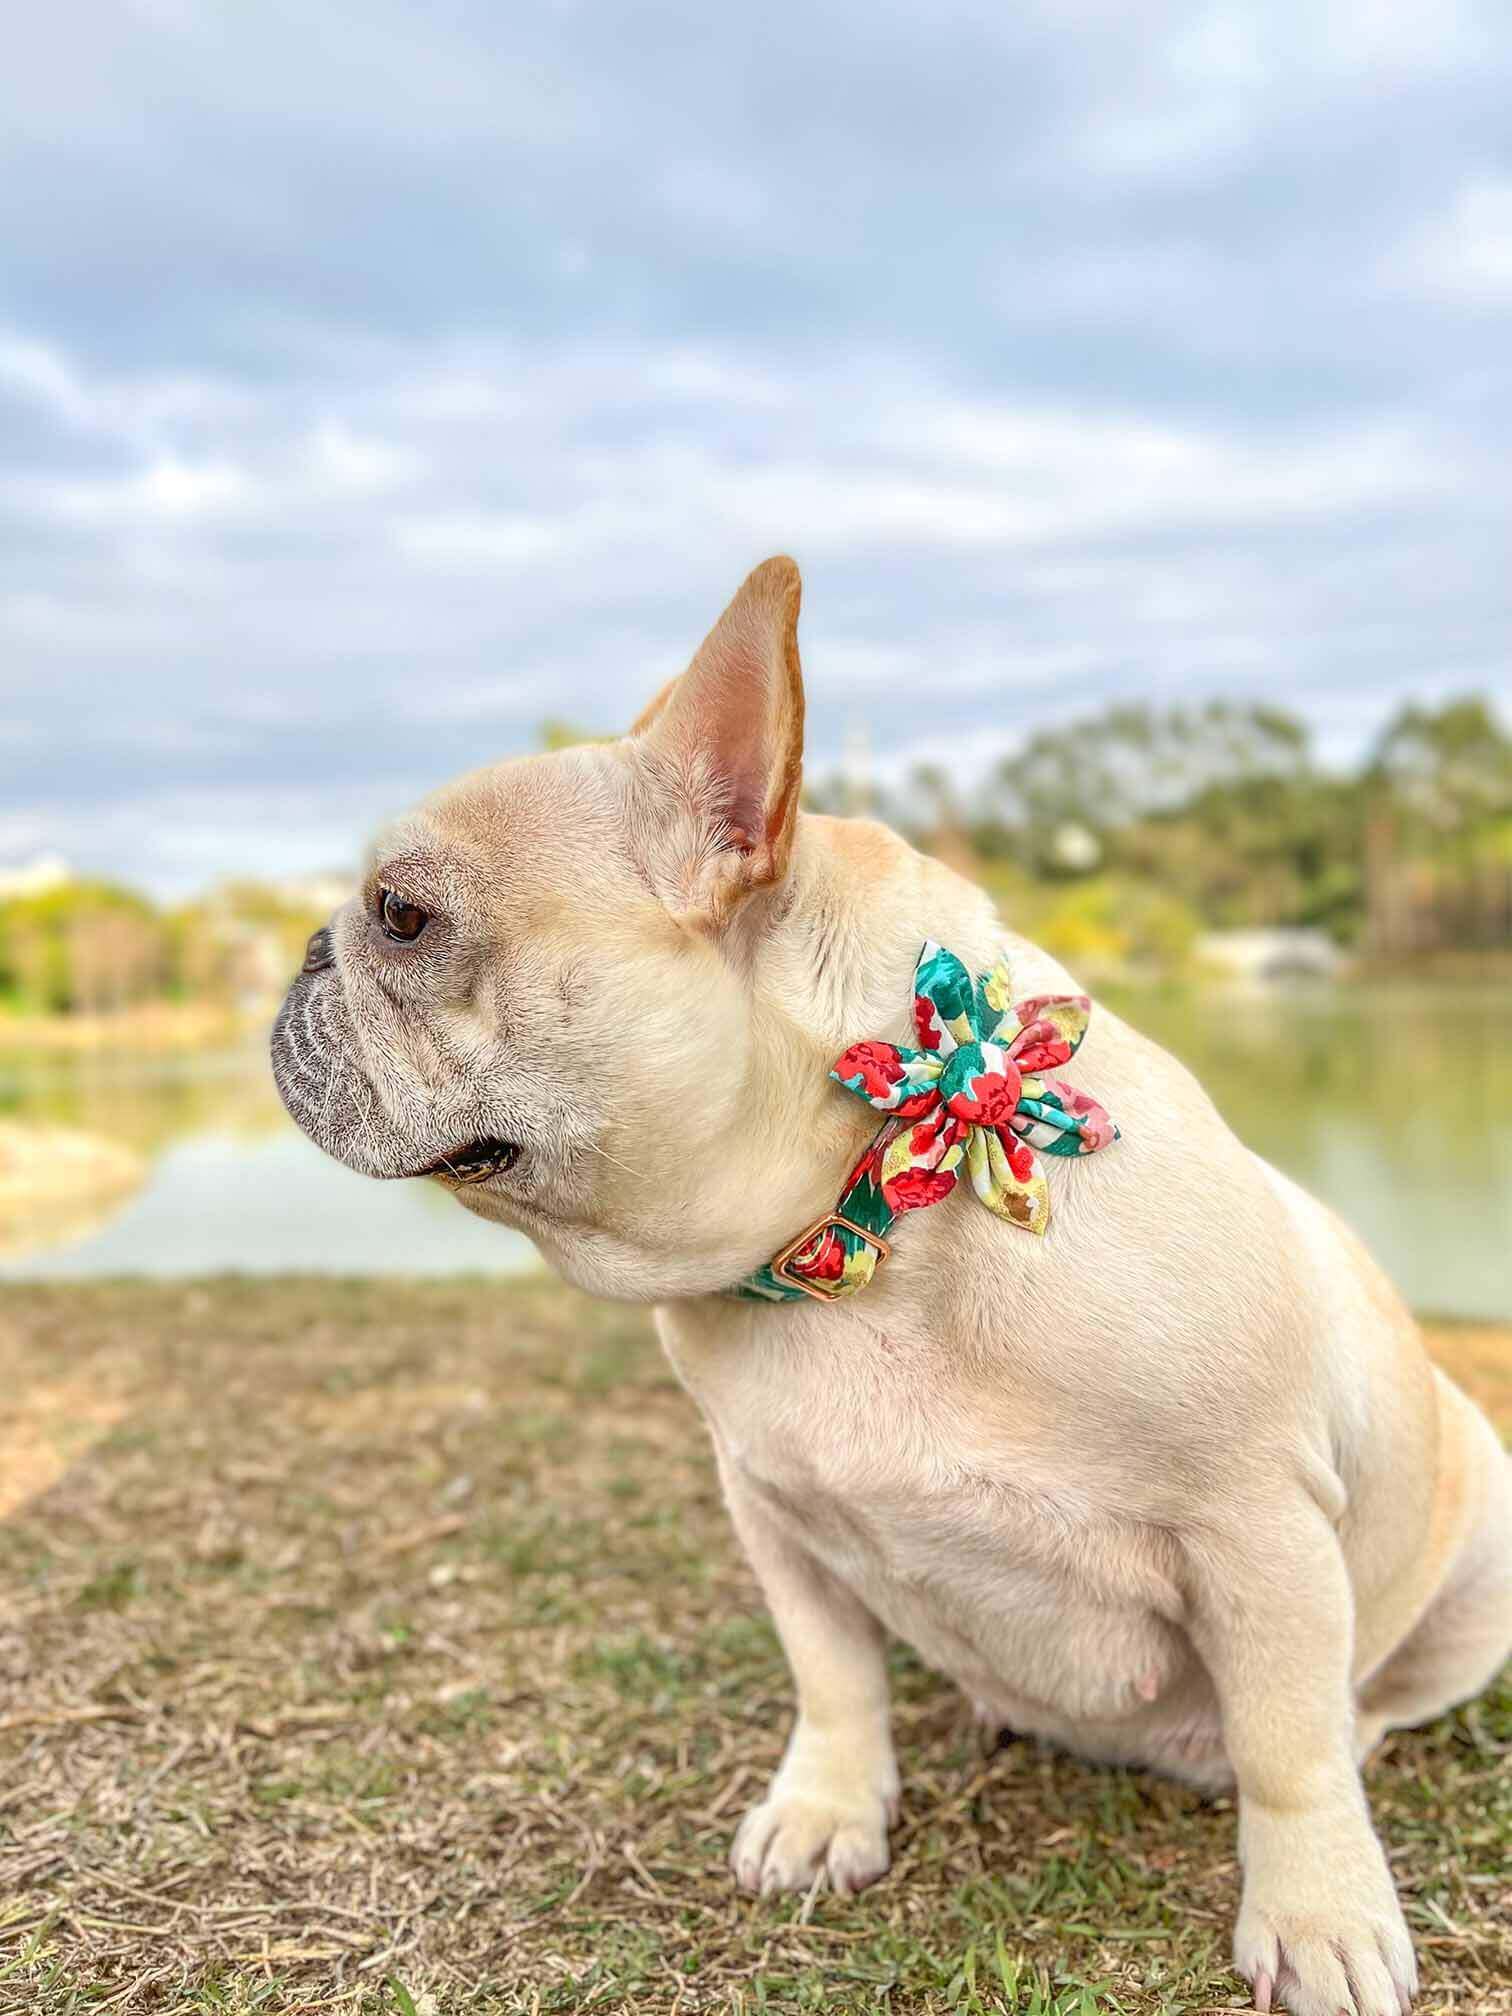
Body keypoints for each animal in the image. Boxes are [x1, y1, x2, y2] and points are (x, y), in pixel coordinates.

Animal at [276, 556, 1512, 2016]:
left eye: (402, 918)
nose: (303, 956)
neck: (865, 1223)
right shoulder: (772, 1509)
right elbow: (832, 1681)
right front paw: (827, 1813)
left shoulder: (1256, 1526)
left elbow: (1289, 1746)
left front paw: (1318, 1914)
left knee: (1357, 1705)